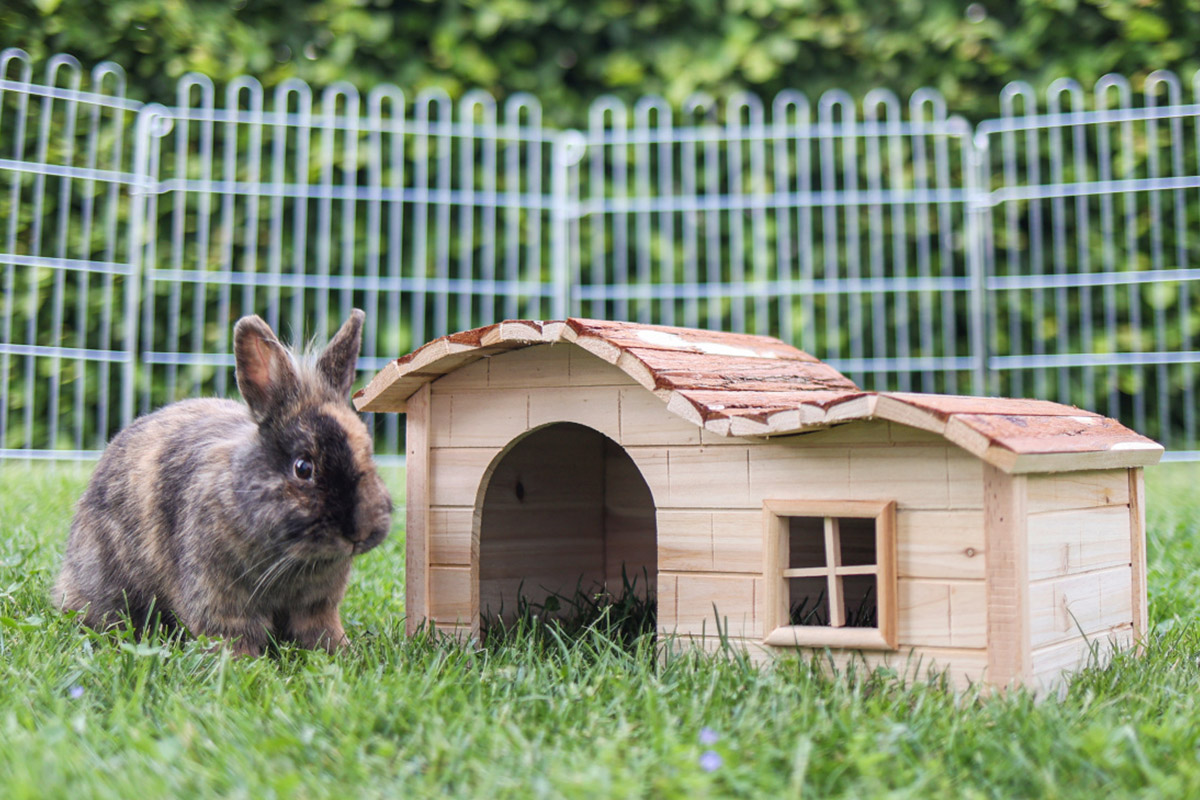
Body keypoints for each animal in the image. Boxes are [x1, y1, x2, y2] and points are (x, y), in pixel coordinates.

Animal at [52, 309, 393, 652]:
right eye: (303, 467)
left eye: (368, 451)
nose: (359, 532)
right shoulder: (220, 601)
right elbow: (234, 635)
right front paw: (241, 661)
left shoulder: (317, 606)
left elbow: (321, 630)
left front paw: (341, 652)